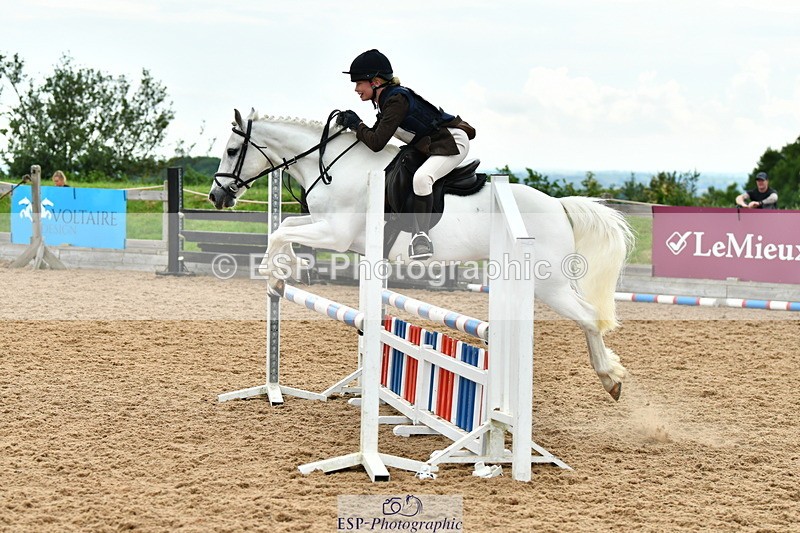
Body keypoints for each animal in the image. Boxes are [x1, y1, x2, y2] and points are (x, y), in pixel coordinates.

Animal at [208, 108, 634, 401]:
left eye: (231, 150)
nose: (216, 196)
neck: (334, 166)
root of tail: (560, 205)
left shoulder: (337, 233)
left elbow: (281, 231)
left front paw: (278, 272)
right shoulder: (332, 230)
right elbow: (286, 227)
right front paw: (283, 271)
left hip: (549, 284)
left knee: (589, 318)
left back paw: (610, 378)